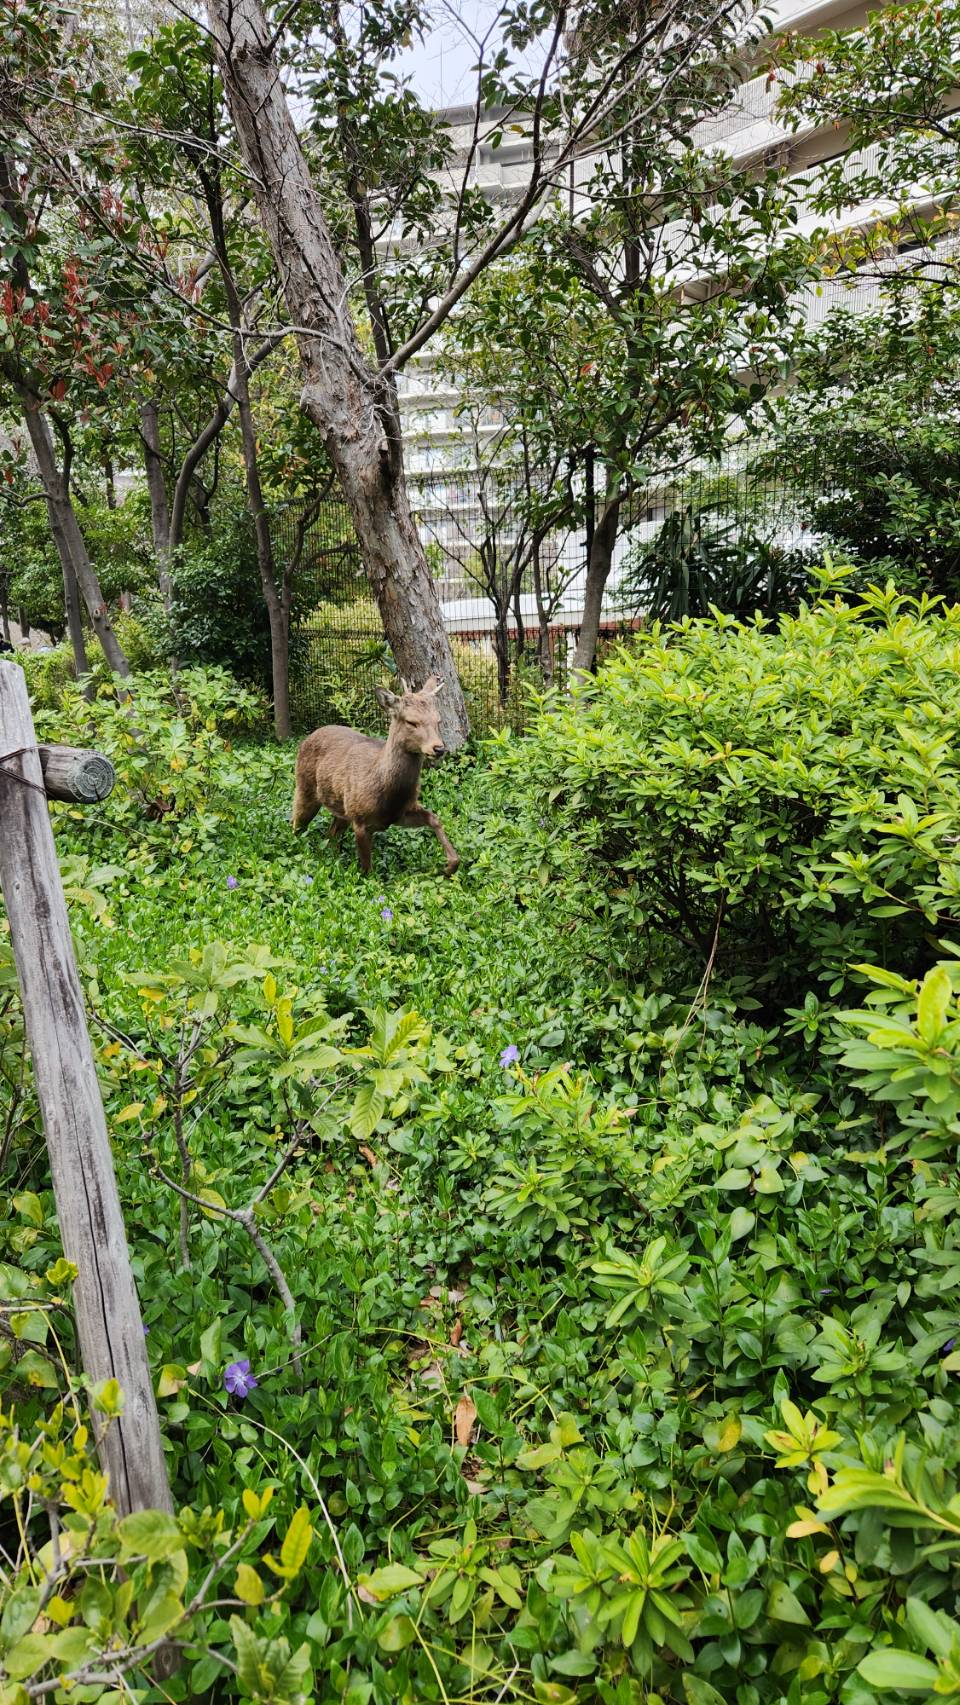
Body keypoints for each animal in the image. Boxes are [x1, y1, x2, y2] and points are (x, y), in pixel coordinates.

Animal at [291, 676, 460, 878]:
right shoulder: (360, 820)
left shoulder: (399, 813)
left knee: (330, 834)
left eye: (438, 721)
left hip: (342, 808)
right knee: (296, 824)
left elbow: (434, 819)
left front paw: (449, 867)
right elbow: (367, 872)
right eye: (411, 722)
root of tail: (307, 738)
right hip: (305, 787)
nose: (439, 748)